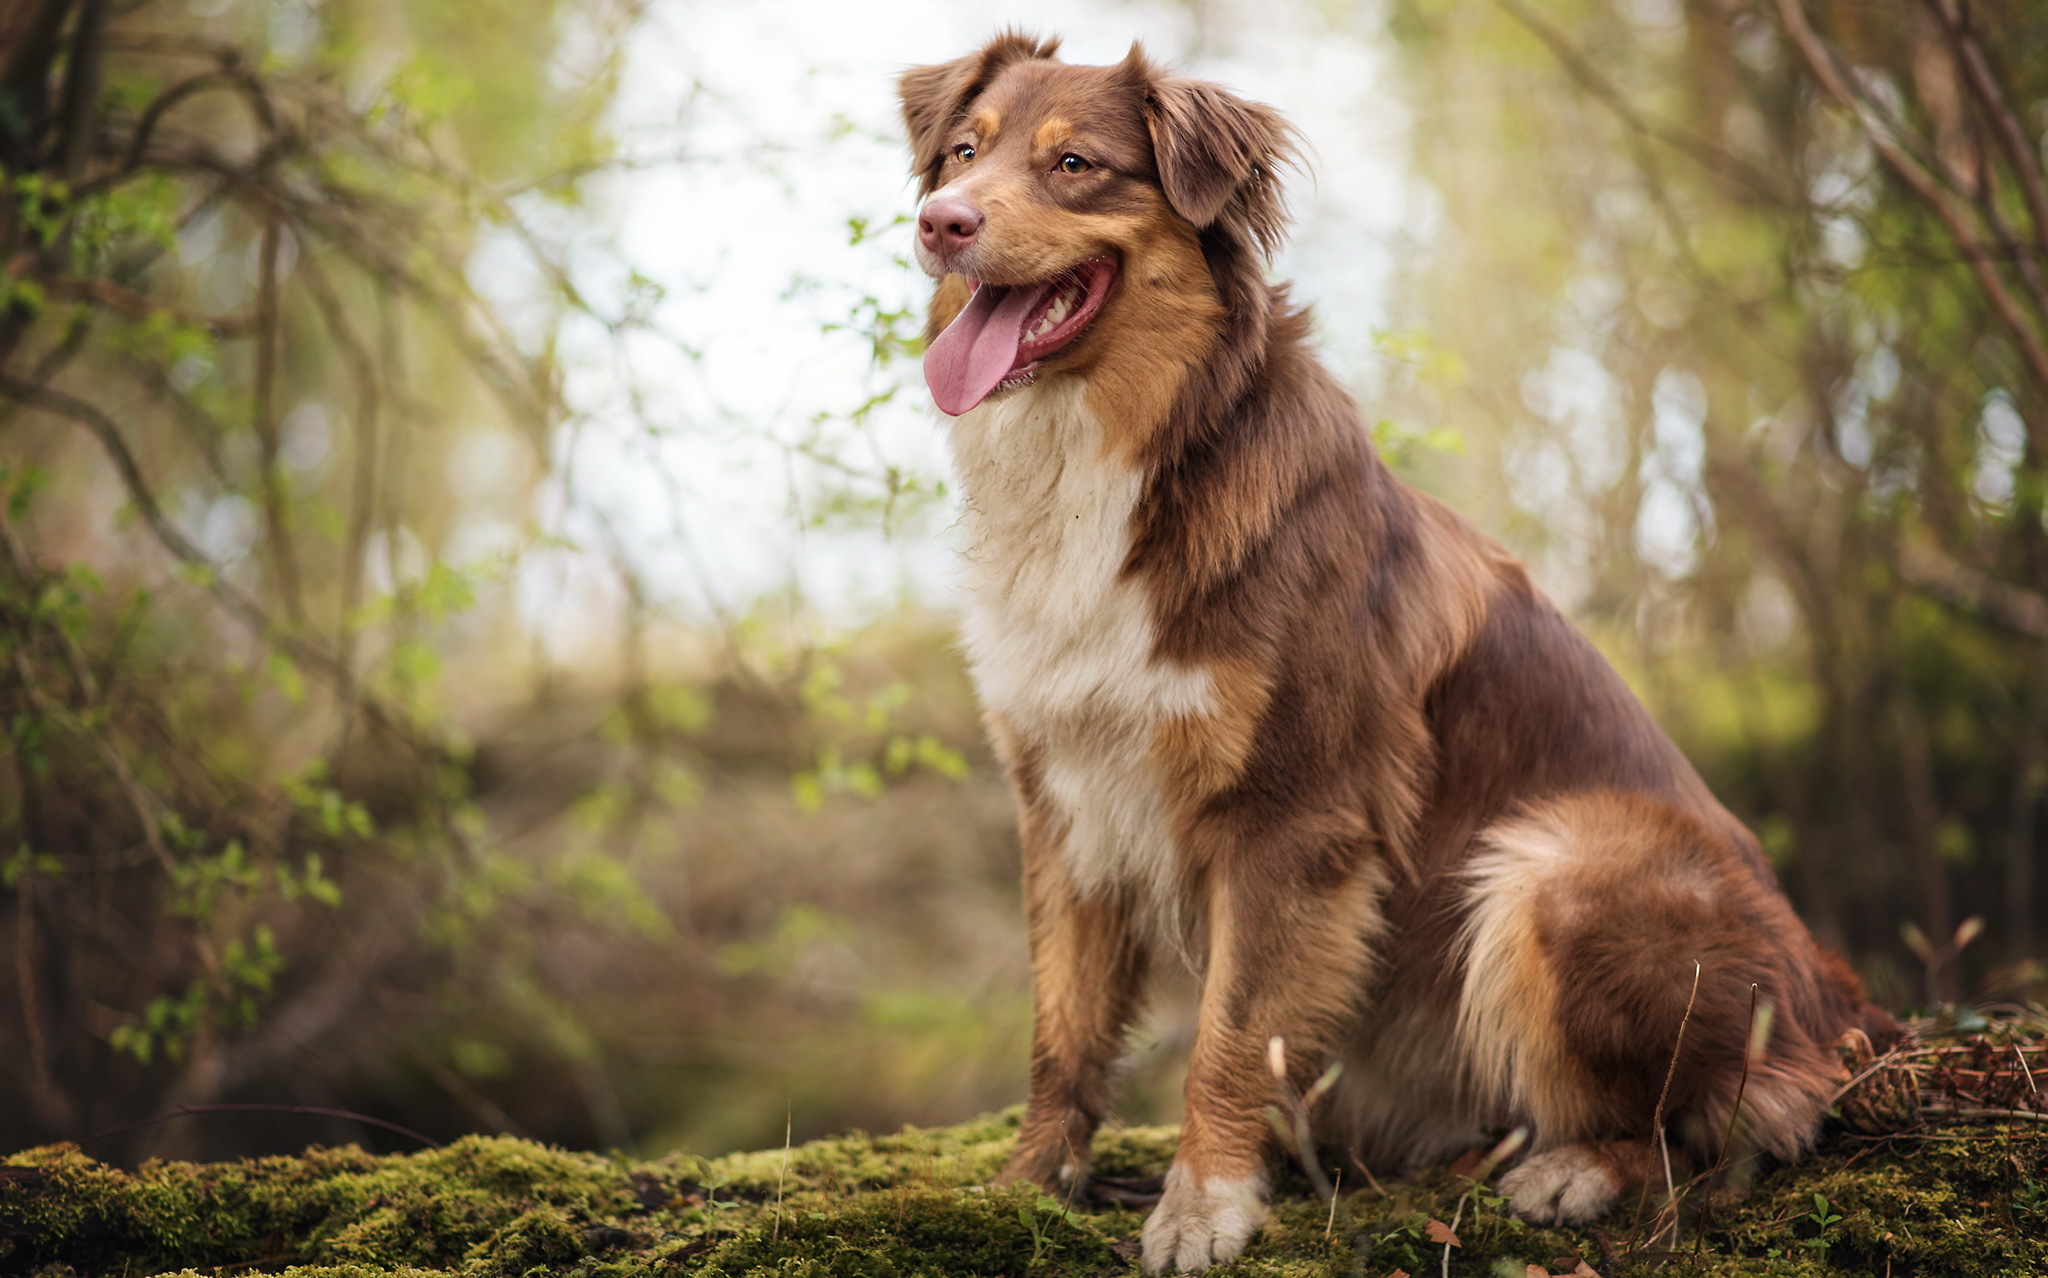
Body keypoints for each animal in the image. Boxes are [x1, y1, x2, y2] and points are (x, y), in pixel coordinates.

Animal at [905, 34, 1892, 1269]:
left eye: (1075, 164)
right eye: (962, 153)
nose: (939, 221)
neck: (1124, 454)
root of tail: (1833, 998)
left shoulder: (1295, 813)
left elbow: (1231, 1032)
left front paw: (1204, 1203)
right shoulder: (1065, 799)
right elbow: (1064, 1027)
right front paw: (1028, 1188)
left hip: (1547, 867)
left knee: (1742, 1111)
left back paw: (1576, 1168)